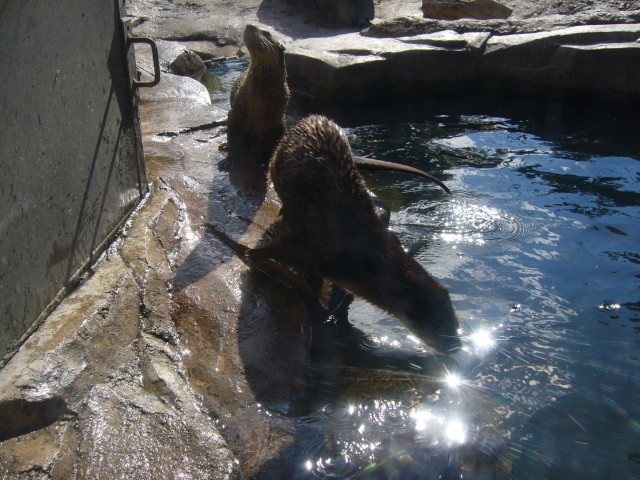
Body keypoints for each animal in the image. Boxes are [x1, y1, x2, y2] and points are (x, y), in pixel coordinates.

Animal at [219, 24, 292, 172]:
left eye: (266, 33)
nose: (249, 25)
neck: (258, 98)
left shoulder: (270, 117)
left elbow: (259, 139)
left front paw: (257, 157)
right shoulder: (237, 110)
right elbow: (233, 133)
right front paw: (230, 159)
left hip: (281, 125)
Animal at [248, 114, 462, 350]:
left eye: (455, 323)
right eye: (440, 329)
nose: (456, 347)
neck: (360, 255)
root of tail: (311, 118)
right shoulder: (308, 243)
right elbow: (263, 253)